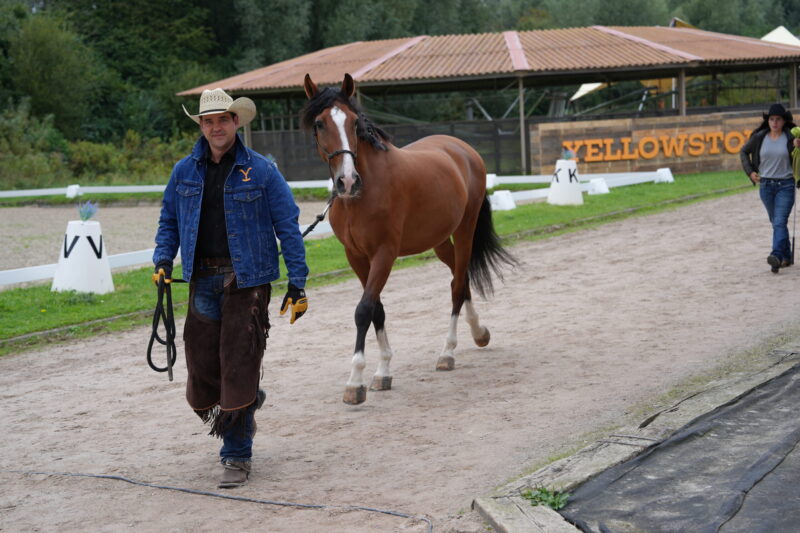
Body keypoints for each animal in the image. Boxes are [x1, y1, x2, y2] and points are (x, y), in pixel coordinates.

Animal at [304, 71, 516, 404]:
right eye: (319, 124)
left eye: (354, 122)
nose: (347, 181)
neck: (362, 194)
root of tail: (463, 149)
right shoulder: (356, 256)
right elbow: (377, 309)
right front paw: (383, 372)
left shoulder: (384, 254)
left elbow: (364, 310)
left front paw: (355, 382)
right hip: (439, 240)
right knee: (460, 278)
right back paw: (479, 333)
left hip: (464, 230)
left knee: (458, 286)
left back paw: (447, 353)